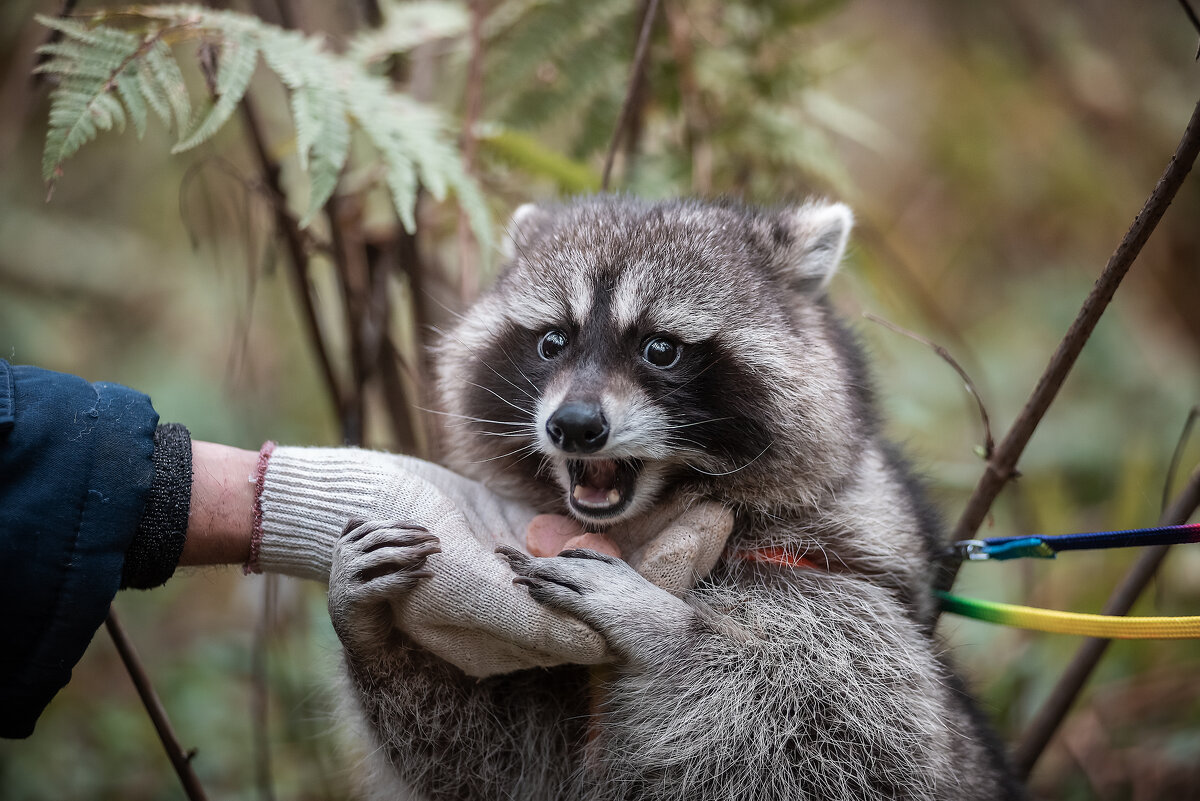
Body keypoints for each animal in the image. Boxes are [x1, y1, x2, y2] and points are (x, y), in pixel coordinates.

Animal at [328, 195, 1022, 801]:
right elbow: (488, 768)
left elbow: (840, 725)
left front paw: (667, 628)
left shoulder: (841, 582)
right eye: (552, 341)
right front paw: (372, 637)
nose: (573, 425)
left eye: (661, 348)